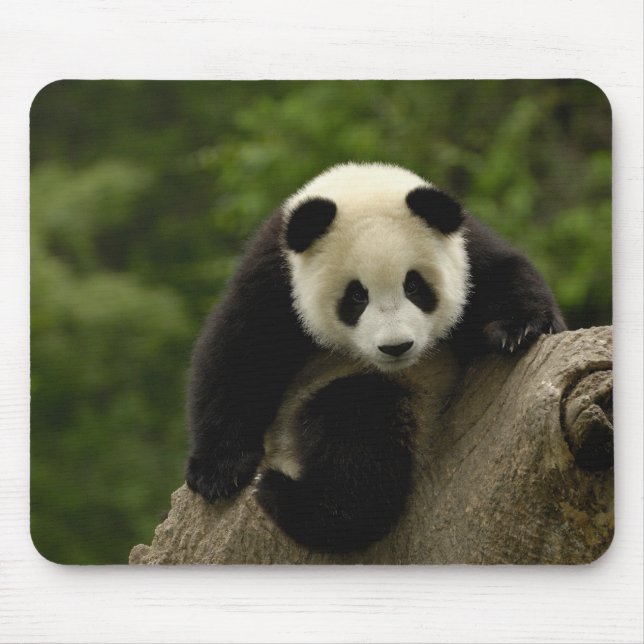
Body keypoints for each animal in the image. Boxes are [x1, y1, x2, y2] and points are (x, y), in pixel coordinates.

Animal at [185, 162, 566, 553]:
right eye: (356, 295)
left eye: (414, 286)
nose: (396, 347)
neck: (361, 185)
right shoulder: (274, 274)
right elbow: (240, 354)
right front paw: (219, 473)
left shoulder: (467, 251)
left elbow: (507, 274)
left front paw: (519, 329)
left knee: (359, 422)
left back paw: (292, 499)